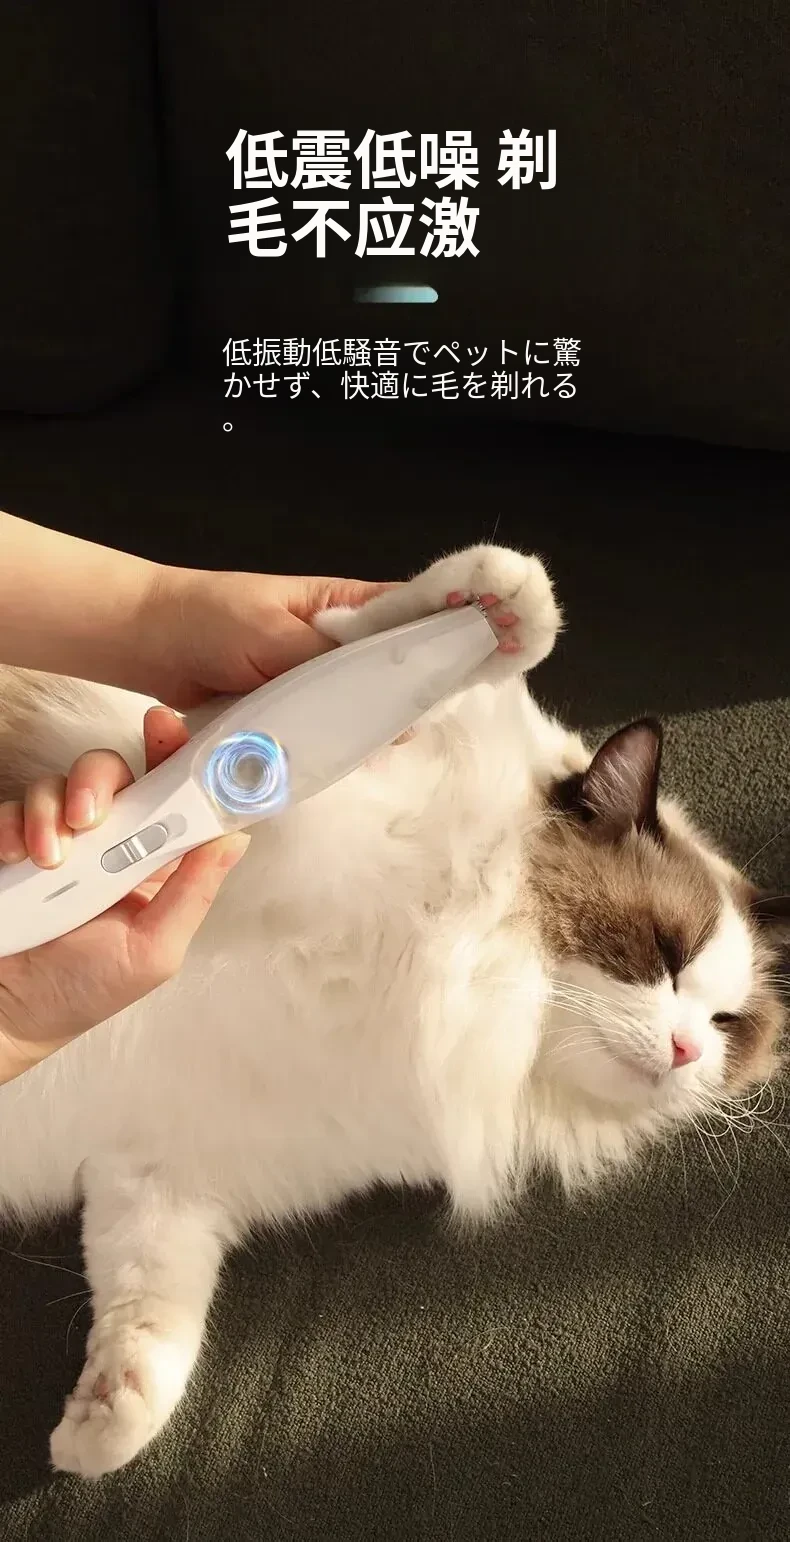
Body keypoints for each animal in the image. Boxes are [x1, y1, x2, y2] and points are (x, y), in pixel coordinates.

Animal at [0, 544, 785, 1481]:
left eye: (726, 1027)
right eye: (662, 951)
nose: (684, 1051)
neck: (498, 1000)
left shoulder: (166, 1175)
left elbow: (150, 1327)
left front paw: (93, 1428)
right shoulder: (273, 804)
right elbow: (345, 672)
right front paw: (500, 607)